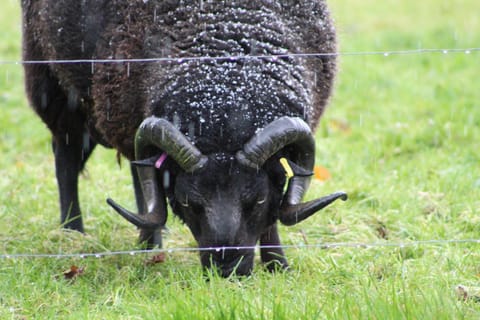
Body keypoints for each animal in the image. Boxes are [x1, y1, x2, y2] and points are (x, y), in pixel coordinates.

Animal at [21, 0, 344, 276]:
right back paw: (74, 231)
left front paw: (278, 264)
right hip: (53, 87)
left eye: (257, 200)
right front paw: (149, 248)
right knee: (67, 157)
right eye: (190, 203)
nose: (227, 272)